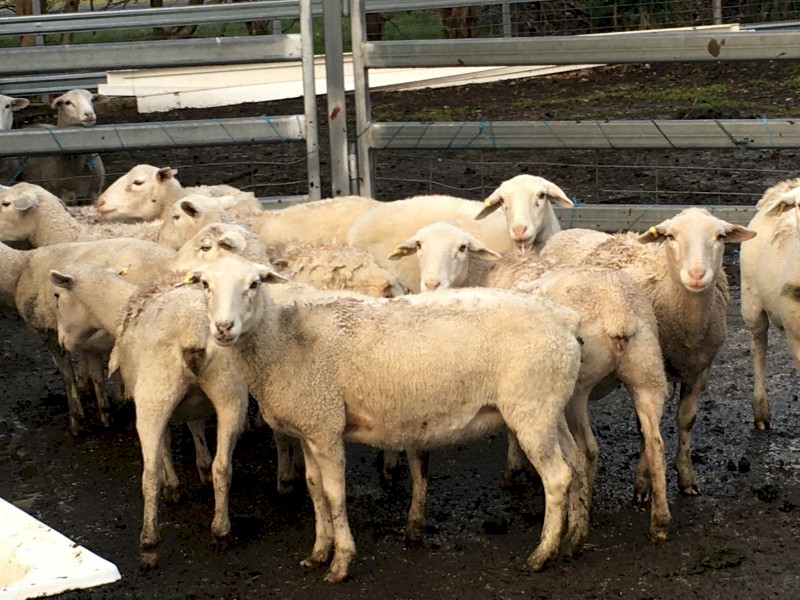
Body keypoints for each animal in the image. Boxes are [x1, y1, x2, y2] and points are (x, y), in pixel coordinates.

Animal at [188, 253, 587, 582]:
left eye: (254, 284)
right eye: (205, 285)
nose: (223, 327)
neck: (283, 341)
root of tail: (564, 318)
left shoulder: (326, 426)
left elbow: (334, 494)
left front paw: (340, 562)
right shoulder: (310, 427)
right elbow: (315, 490)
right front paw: (318, 552)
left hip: (531, 408)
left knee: (557, 477)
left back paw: (542, 554)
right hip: (550, 406)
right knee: (578, 463)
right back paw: (574, 539)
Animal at [389, 220, 671, 541]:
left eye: (461, 248)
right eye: (419, 245)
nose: (431, 285)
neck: (487, 274)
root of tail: (617, 310)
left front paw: (514, 470)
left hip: (576, 388)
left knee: (588, 449)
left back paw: (582, 513)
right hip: (648, 373)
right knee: (656, 443)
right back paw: (659, 521)